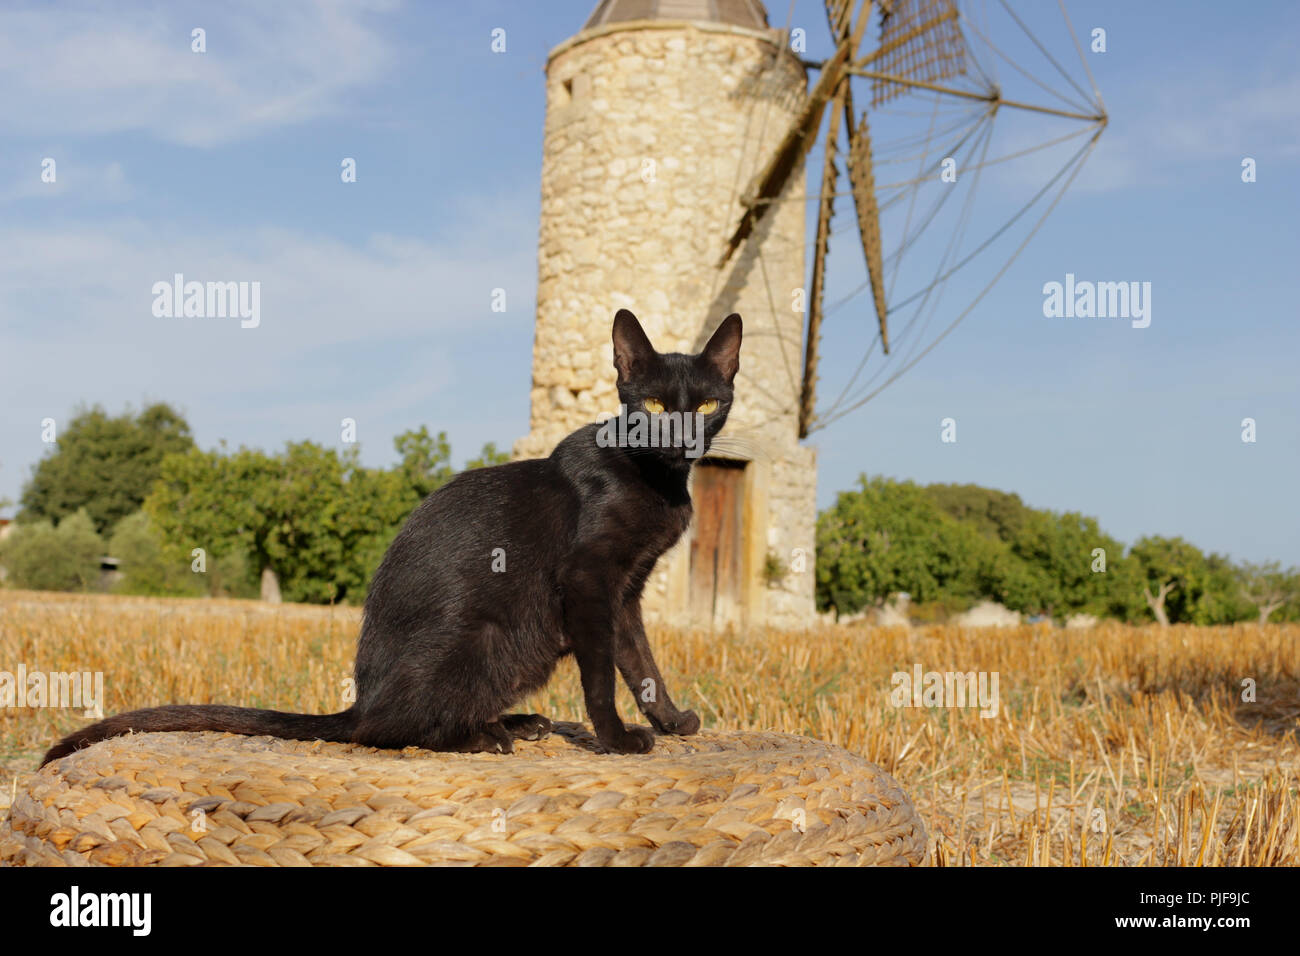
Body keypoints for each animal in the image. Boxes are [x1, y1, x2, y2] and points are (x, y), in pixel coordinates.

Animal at [45, 310, 743, 764]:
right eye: (655, 407)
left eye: (707, 406)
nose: (682, 437)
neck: (656, 482)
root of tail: (362, 700)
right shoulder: (589, 580)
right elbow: (603, 674)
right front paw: (617, 740)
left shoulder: (626, 592)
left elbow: (642, 663)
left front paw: (673, 721)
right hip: (491, 637)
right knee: (390, 730)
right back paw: (488, 736)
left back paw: (518, 721)